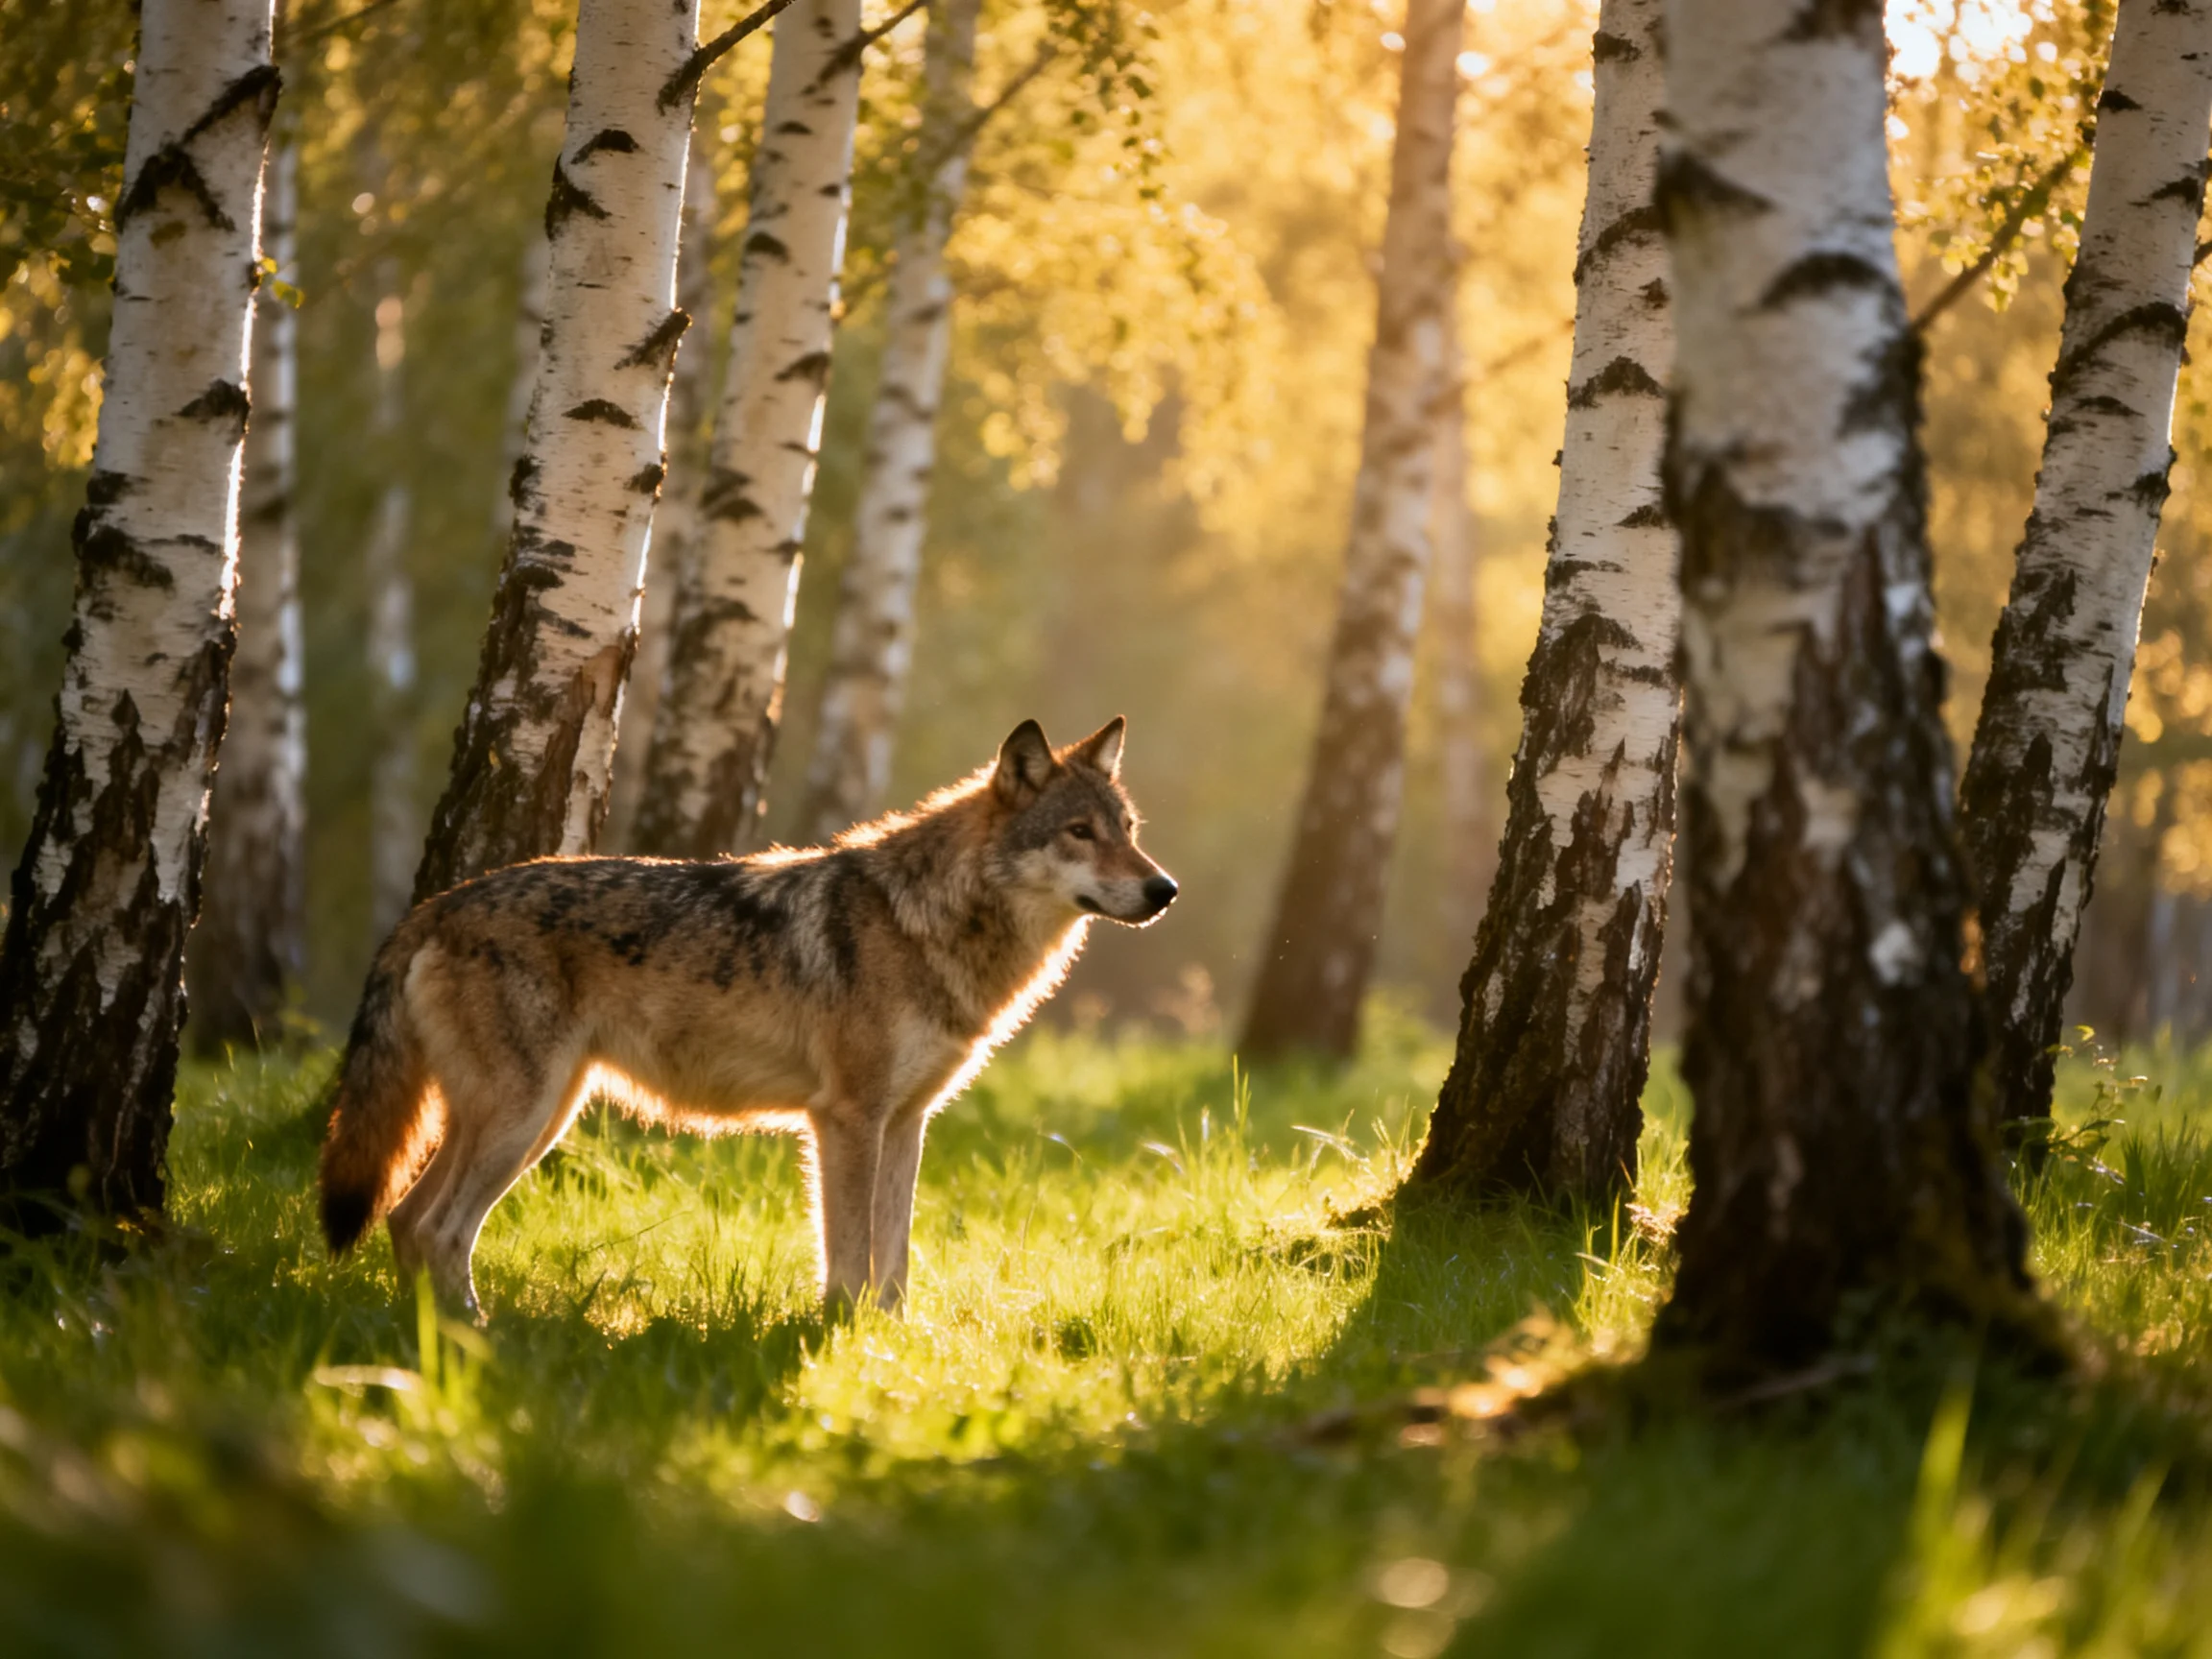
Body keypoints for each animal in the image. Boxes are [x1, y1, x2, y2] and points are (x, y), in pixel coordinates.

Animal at [317, 718, 1175, 1319]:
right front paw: (842, 1336)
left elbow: (894, 1257)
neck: (929, 924)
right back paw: (473, 1335)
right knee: (439, 1229)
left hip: (532, 1121)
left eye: (1129, 832)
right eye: (1079, 832)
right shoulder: (846, 1119)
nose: (1164, 890)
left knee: (407, 1220)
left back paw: (431, 1335)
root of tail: (435, 905)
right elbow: (851, 1252)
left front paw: (893, 1342)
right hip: (523, 1121)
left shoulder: (907, 1123)